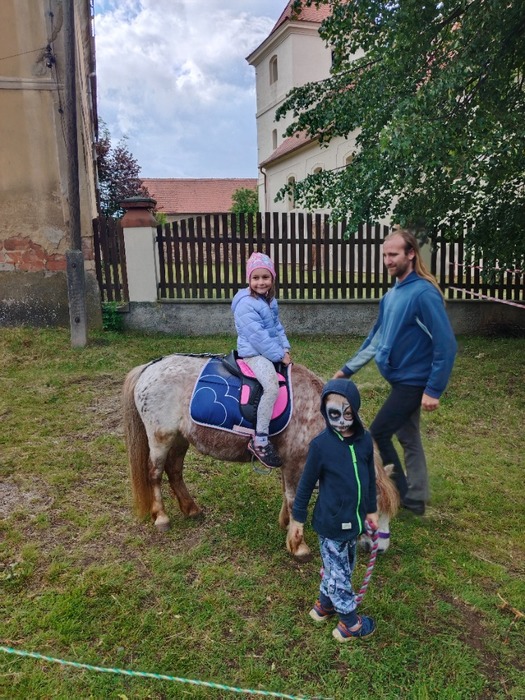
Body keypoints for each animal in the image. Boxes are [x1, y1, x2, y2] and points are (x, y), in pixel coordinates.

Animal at [122, 354, 399, 562]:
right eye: (372, 509)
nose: (381, 550)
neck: (318, 415)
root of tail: (150, 367)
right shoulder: (295, 463)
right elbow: (294, 498)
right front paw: (298, 545)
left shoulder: (290, 462)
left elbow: (288, 495)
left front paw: (285, 524)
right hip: (160, 437)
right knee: (155, 473)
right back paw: (161, 517)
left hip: (180, 438)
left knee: (175, 470)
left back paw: (191, 509)